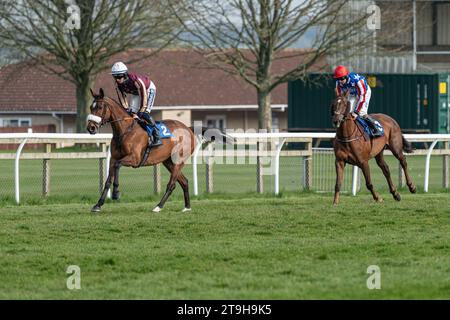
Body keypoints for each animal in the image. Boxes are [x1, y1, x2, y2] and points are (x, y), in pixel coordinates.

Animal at [85, 88, 225, 212]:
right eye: (91, 107)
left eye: (99, 107)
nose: (91, 128)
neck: (125, 130)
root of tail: (188, 128)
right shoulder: (113, 158)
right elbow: (108, 180)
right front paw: (98, 204)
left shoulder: (134, 159)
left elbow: (118, 166)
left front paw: (116, 192)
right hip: (168, 161)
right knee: (184, 181)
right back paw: (187, 207)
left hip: (178, 160)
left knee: (172, 184)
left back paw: (158, 206)